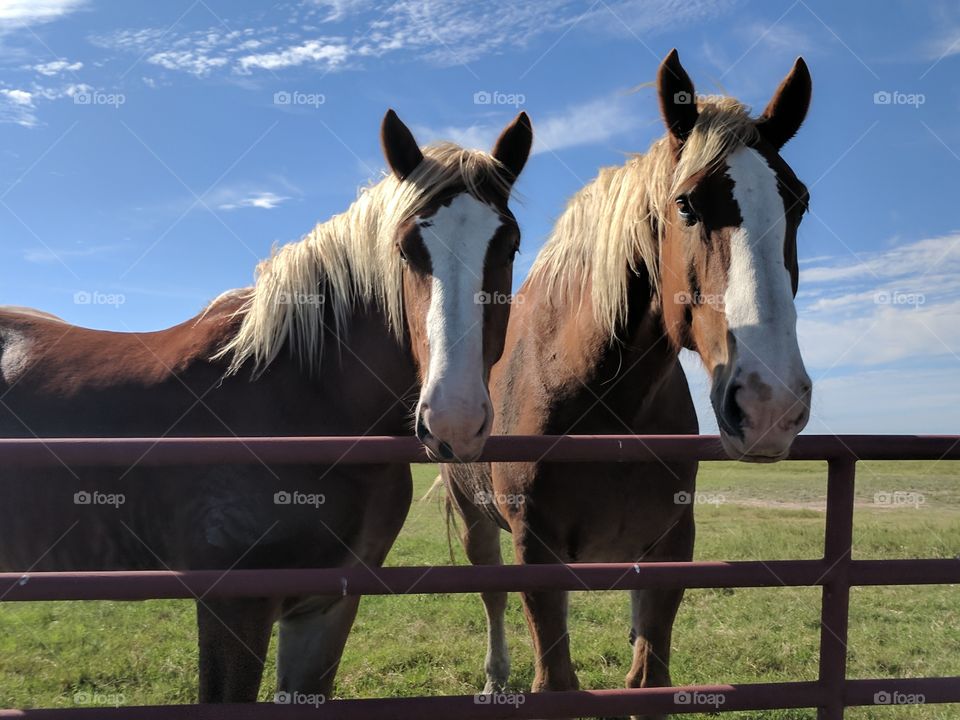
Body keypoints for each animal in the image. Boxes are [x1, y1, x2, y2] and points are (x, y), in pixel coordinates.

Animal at [0, 108, 532, 704]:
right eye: (405, 249)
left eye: (509, 246)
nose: (453, 420)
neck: (305, 399)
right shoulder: (234, 606)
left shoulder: (326, 607)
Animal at [442, 47, 808, 716]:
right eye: (686, 204)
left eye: (800, 203)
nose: (770, 404)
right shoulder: (535, 552)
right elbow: (556, 680)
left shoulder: (670, 548)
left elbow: (650, 679)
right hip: (476, 519)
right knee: (493, 599)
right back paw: (494, 678)